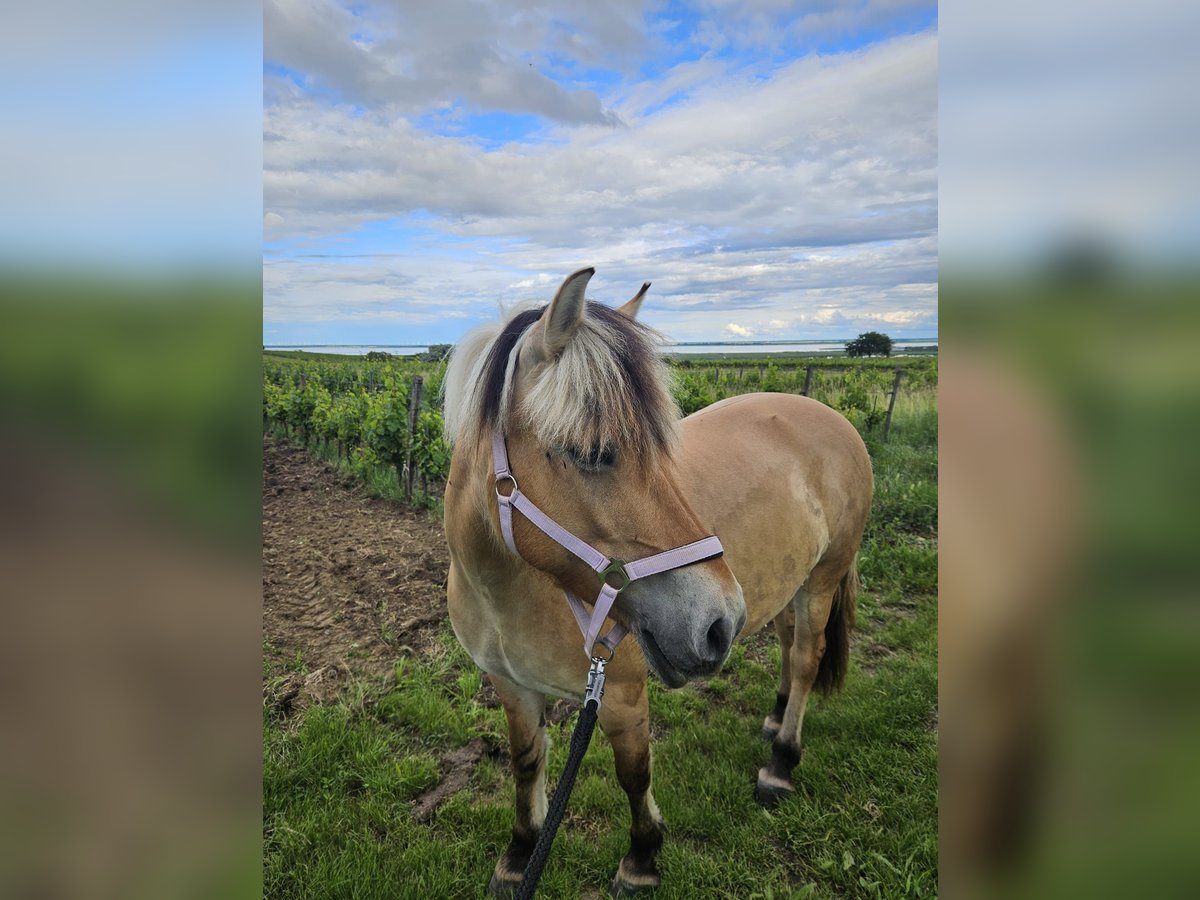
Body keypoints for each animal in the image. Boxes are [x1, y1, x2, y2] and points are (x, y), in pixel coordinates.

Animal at [441, 266, 873, 897]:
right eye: (593, 453)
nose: (720, 622)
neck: (508, 594)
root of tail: (833, 418)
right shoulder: (509, 685)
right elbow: (526, 762)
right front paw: (521, 851)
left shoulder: (619, 694)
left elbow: (633, 772)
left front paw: (642, 855)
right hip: (790, 583)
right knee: (790, 643)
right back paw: (774, 718)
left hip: (822, 579)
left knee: (806, 657)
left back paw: (781, 762)